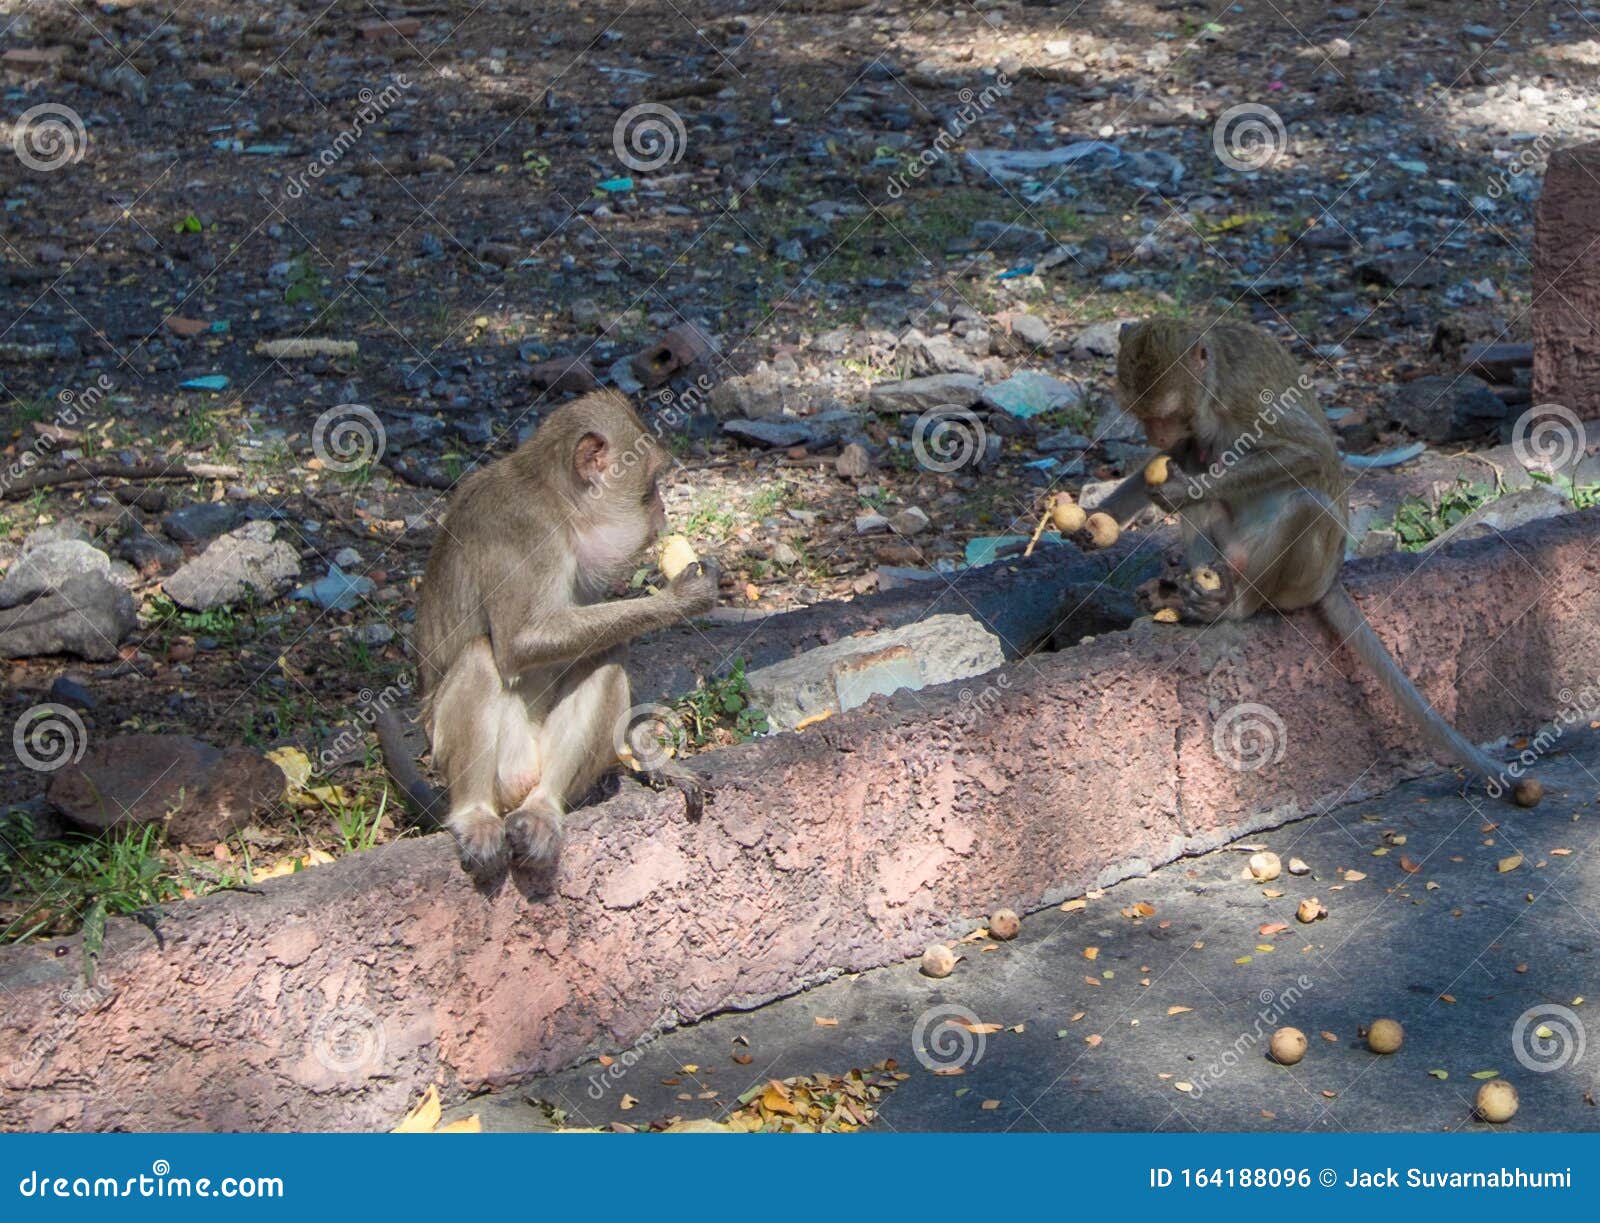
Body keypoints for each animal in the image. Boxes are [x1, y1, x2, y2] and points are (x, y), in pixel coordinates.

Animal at [374, 392, 720, 877]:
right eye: (650, 485)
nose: (662, 510)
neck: (557, 501)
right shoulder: (525, 532)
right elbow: (519, 643)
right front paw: (680, 599)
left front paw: (653, 758)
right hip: (500, 767)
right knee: (483, 655)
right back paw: (476, 815)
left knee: (603, 656)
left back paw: (544, 807)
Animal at [1094, 320, 1542, 806]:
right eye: (1145, 418)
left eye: (1167, 414)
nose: (1157, 437)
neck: (1210, 388)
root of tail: (1330, 578)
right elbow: (1176, 461)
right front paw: (1097, 519)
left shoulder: (1245, 394)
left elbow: (1309, 452)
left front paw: (1180, 489)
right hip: (1230, 550)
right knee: (1204, 475)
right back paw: (1185, 592)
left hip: (1298, 577)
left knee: (1305, 503)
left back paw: (1232, 605)